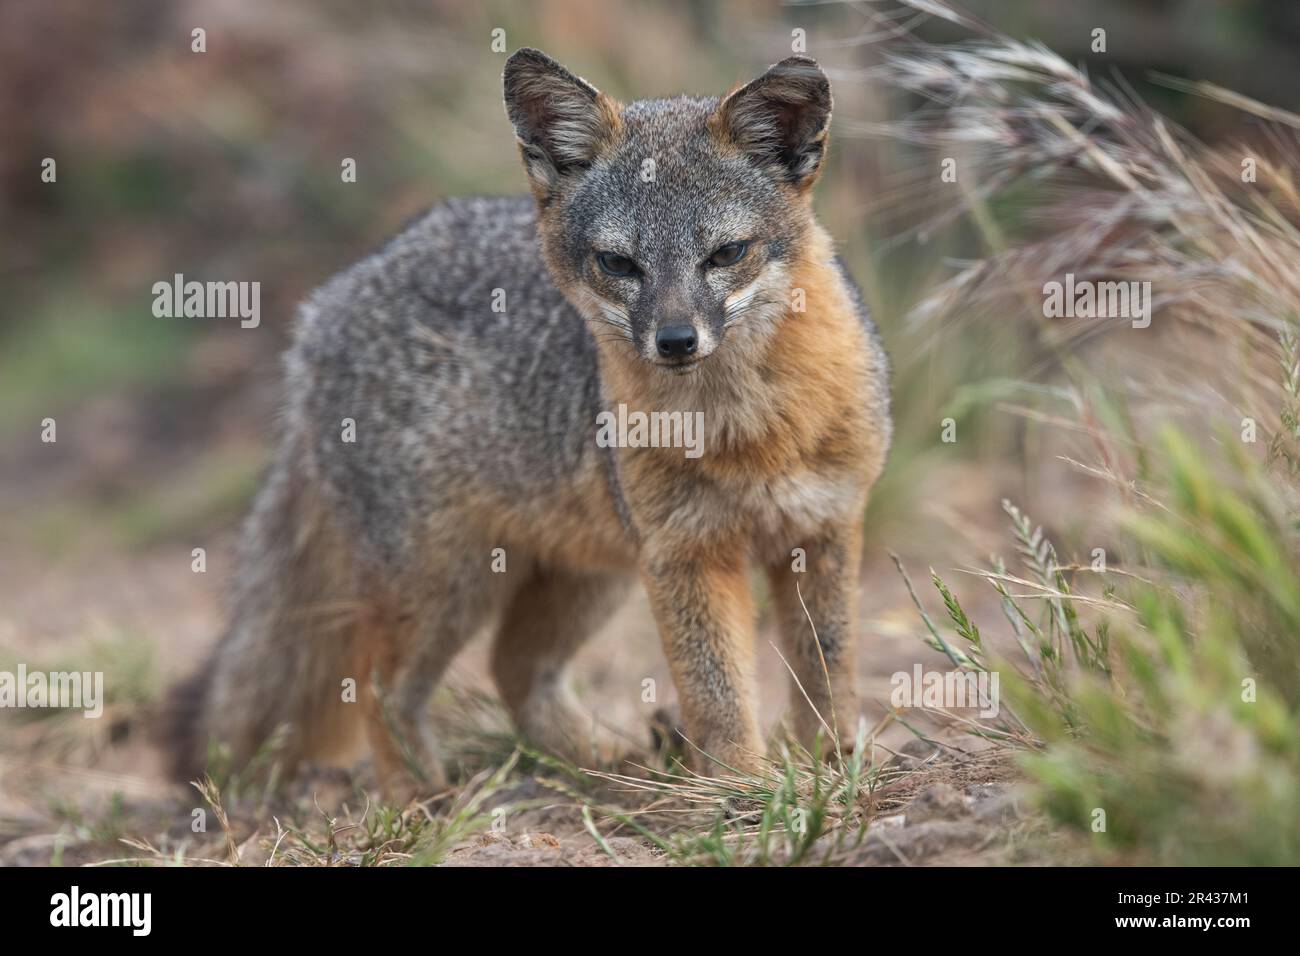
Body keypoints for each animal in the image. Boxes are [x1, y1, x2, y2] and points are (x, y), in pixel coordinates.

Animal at [159, 46, 894, 790]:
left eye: (726, 254)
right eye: (618, 263)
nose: (675, 341)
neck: (748, 432)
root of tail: (322, 307)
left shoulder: (824, 529)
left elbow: (828, 672)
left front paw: (835, 763)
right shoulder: (685, 555)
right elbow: (718, 693)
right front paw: (740, 788)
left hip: (587, 573)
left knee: (512, 667)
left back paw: (599, 764)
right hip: (448, 582)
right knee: (380, 687)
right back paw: (424, 799)